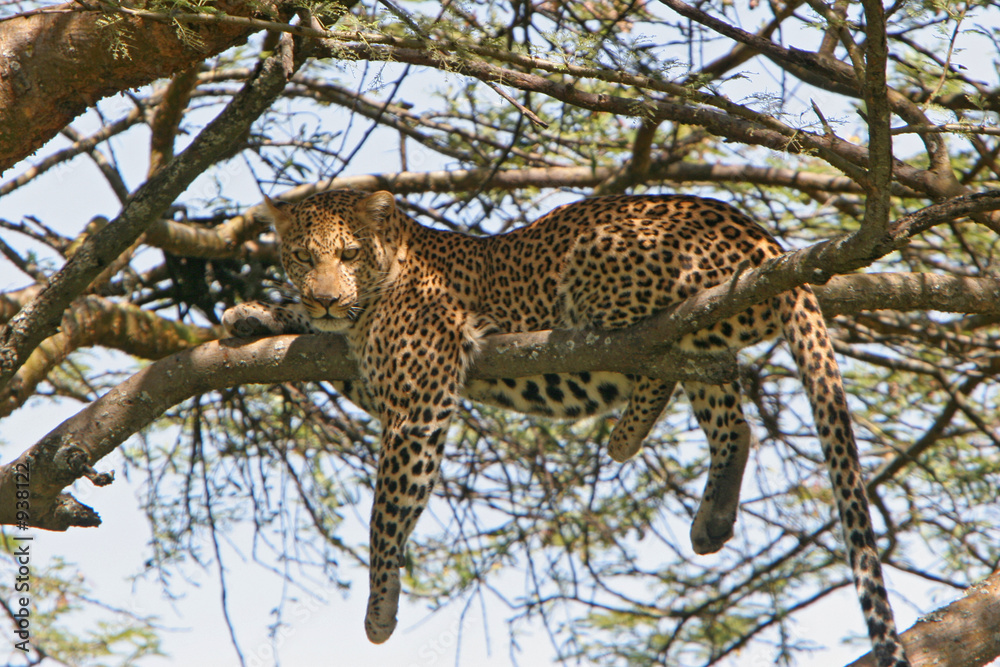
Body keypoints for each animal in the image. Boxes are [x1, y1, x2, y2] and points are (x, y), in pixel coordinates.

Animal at [222, 189, 910, 667]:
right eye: (302, 256)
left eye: (349, 254)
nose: (325, 297)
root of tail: (762, 237)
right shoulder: (370, 375)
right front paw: (253, 314)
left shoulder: (419, 400)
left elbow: (386, 511)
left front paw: (379, 607)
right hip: (712, 342)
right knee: (729, 417)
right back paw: (711, 517)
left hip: (604, 269)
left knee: (650, 351)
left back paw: (624, 436)